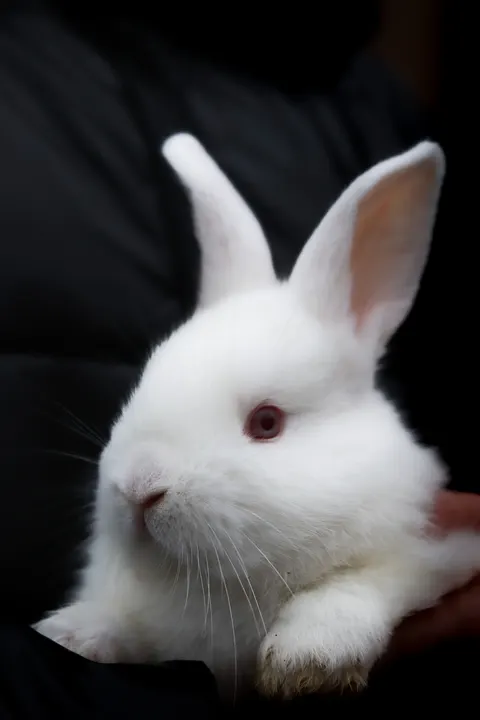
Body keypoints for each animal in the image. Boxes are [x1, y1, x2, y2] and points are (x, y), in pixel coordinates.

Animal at [34, 133, 480, 702]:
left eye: (267, 423)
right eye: (144, 382)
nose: (139, 489)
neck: (208, 588)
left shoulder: (438, 553)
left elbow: (360, 582)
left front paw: (307, 659)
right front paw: (70, 631)